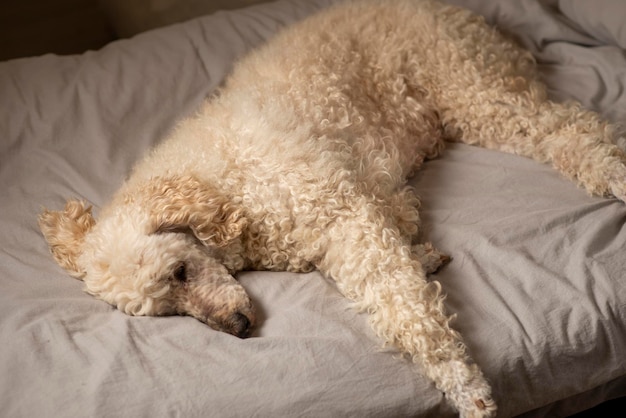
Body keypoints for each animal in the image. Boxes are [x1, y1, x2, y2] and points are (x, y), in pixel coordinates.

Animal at [39, 0, 624, 414]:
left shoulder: (343, 216)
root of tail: (448, 8)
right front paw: (426, 254)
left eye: (180, 272)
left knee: (567, 128)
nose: (237, 329)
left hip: (471, 89)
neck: (225, 183)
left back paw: (615, 174)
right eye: (167, 314)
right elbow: (401, 257)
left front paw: (465, 385)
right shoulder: (349, 225)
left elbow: (408, 310)